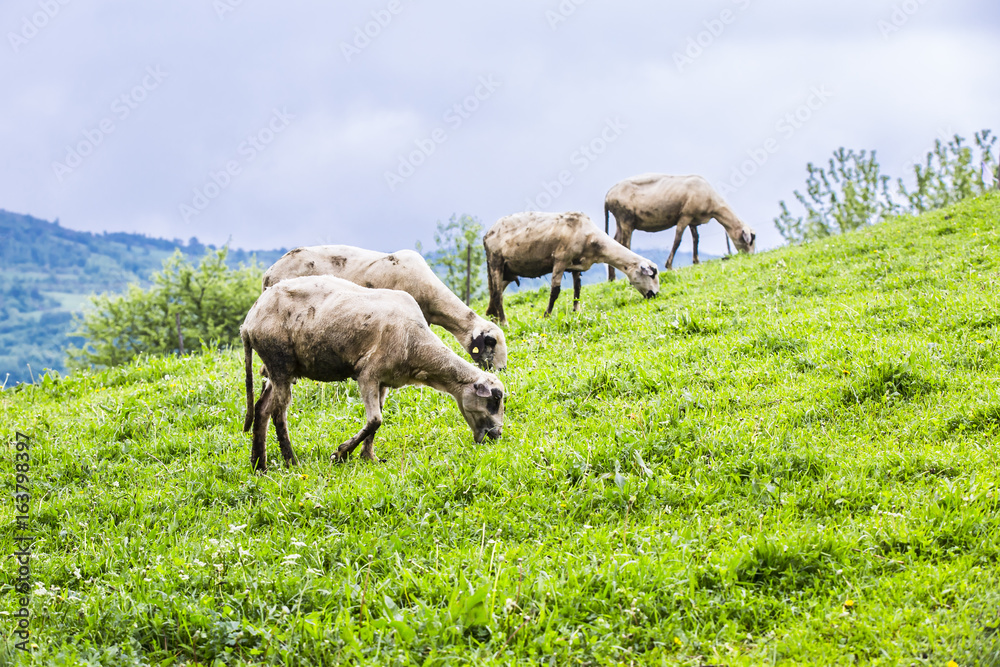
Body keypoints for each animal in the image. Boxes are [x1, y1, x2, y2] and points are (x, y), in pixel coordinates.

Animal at [240, 275, 505, 472]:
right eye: (494, 399)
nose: (497, 435)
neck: (417, 347)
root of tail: (250, 319)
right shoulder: (367, 374)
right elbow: (375, 419)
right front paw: (341, 453)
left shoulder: (385, 381)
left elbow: (378, 419)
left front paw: (368, 457)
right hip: (279, 361)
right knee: (278, 412)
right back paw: (290, 461)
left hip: (278, 368)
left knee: (262, 409)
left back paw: (259, 464)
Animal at [483, 211, 660, 327]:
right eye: (651, 275)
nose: (654, 295)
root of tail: (487, 234)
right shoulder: (560, 259)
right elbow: (555, 292)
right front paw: (547, 316)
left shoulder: (576, 264)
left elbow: (577, 289)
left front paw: (576, 311)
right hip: (496, 261)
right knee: (498, 295)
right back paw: (504, 323)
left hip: (506, 269)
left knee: (493, 293)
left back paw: (493, 318)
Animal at [604, 173, 756, 279]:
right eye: (749, 240)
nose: (750, 256)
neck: (714, 206)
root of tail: (608, 196)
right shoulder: (685, 215)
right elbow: (678, 240)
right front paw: (669, 266)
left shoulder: (693, 219)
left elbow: (696, 238)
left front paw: (696, 262)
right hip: (626, 219)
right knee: (625, 244)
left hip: (620, 221)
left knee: (615, 242)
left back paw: (612, 278)